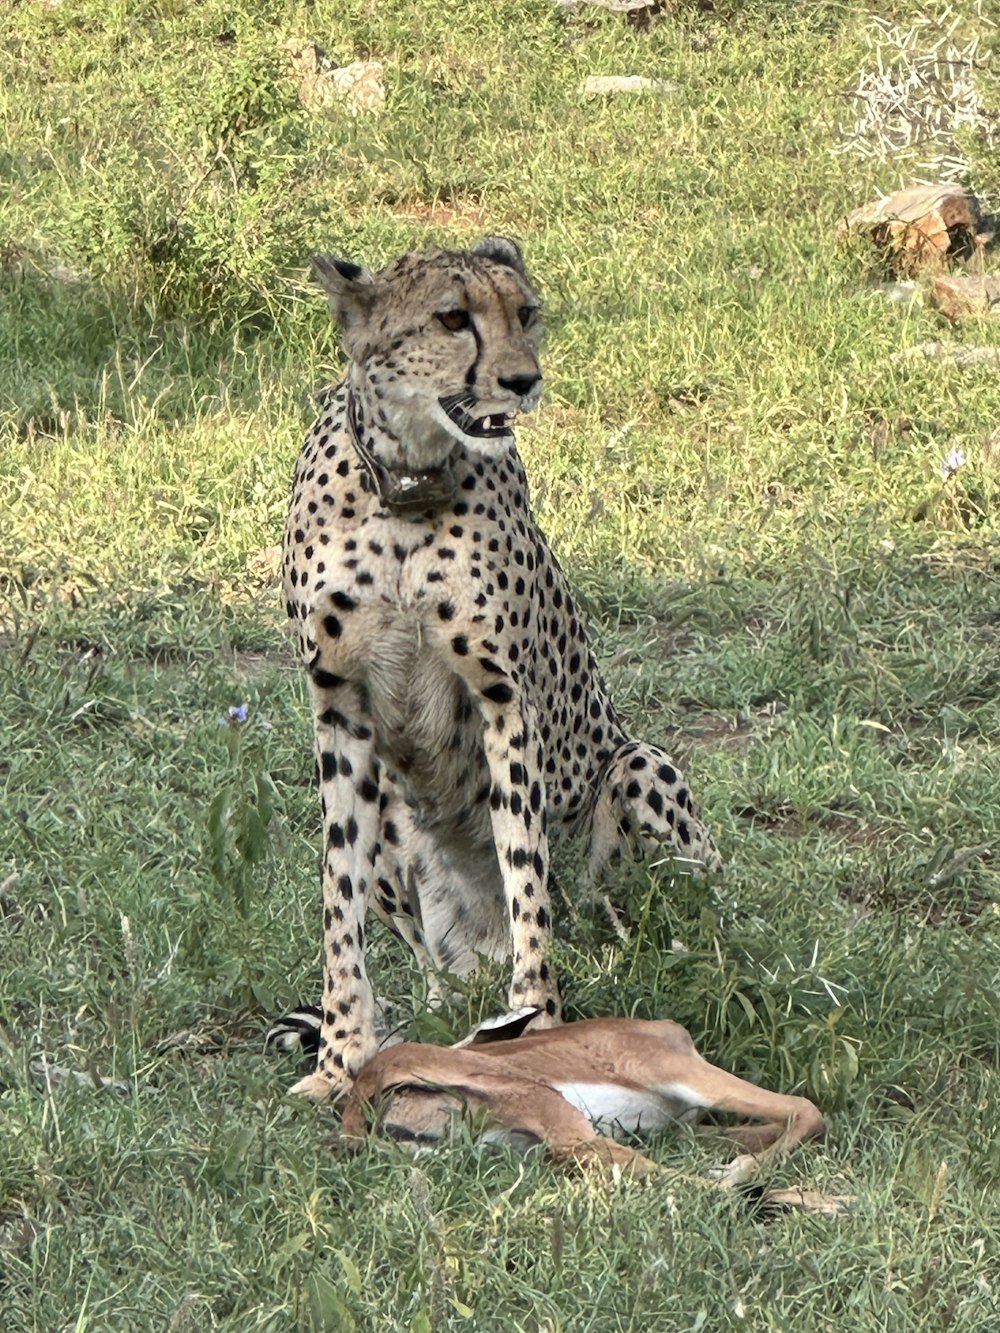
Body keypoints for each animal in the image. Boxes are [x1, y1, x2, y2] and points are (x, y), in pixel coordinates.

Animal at [282, 234, 720, 1098]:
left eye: (526, 312)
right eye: (453, 318)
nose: (523, 380)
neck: (406, 490)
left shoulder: (502, 697)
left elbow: (524, 869)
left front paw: (538, 1021)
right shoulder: (339, 705)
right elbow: (337, 891)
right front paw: (342, 1053)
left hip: (637, 771)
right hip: (400, 821)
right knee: (435, 967)